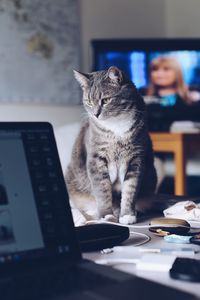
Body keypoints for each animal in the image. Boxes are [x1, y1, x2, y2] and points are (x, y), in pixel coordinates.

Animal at [65, 65, 157, 225]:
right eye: (89, 101)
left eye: (106, 100)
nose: (95, 114)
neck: (116, 127)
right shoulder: (96, 159)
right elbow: (102, 190)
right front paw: (107, 215)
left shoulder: (136, 158)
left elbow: (130, 189)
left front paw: (127, 215)